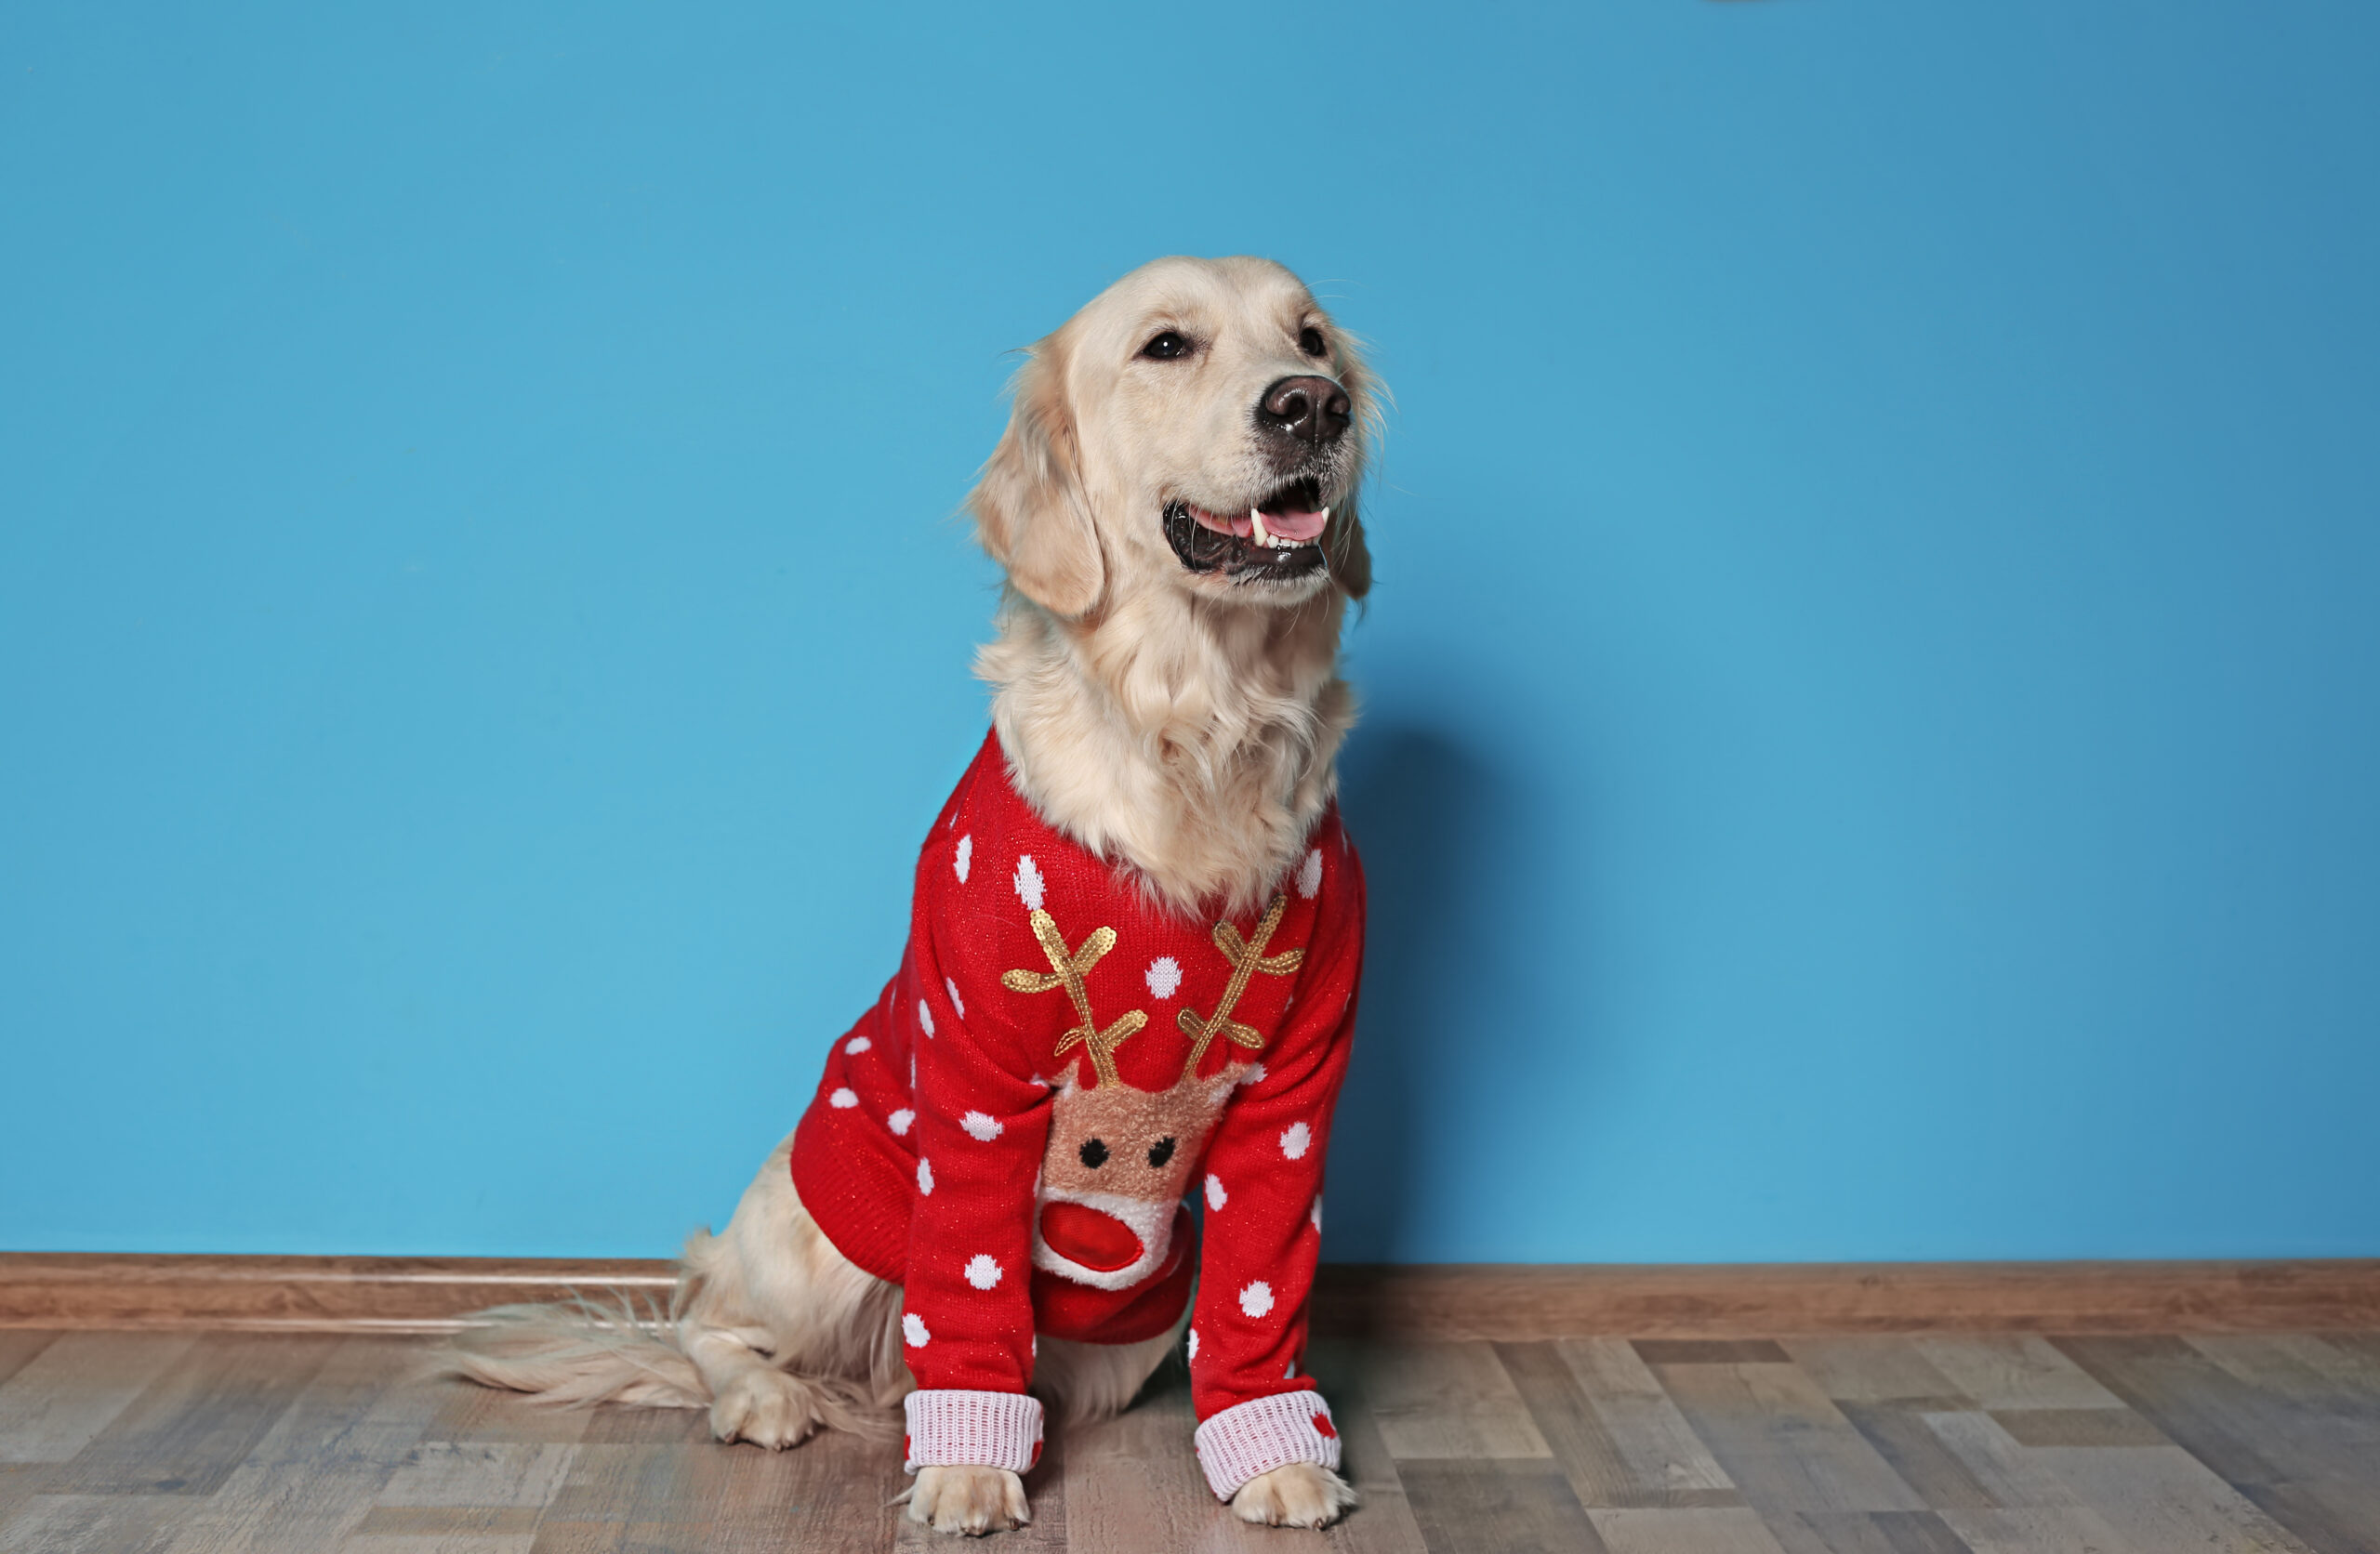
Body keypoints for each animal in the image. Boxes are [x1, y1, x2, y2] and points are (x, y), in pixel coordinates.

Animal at [447, 254, 1380, 1522]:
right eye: (1166, 346)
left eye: (1313, 340)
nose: (1312, 408)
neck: (1200, 722)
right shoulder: (978, 1082)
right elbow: (967, 1292)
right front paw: (968, 1472)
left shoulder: (1292, 1100)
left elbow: (1260, 1298)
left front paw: (1276, 1449)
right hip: (811, 1236)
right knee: (707, 1321)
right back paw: (771, 1397)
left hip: (1133, 1322)